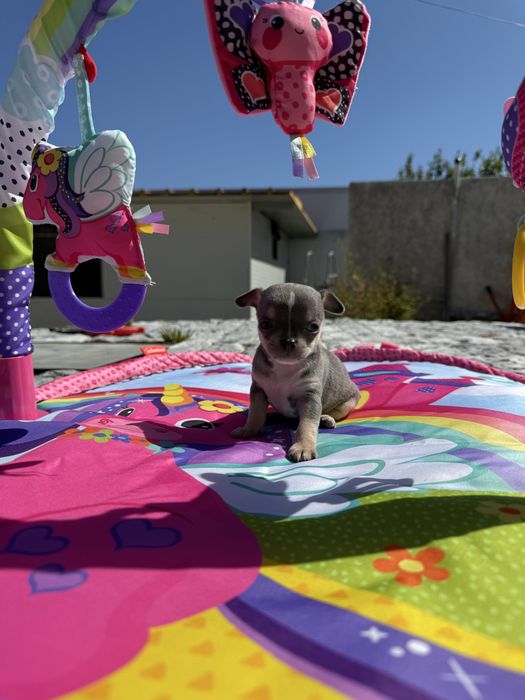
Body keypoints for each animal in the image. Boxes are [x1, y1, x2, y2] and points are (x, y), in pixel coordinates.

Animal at [231, 283, 360, 462]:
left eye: (313, 327)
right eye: (265, 324)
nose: (288, 341)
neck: (285, 367)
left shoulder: (309, 397)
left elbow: (307, 425)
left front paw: (303, 447)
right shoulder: (258, 390)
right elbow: (256, 413)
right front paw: (249, 430)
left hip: (348, 403)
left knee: (334, 413)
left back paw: (326, 418)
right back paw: (271, 416)